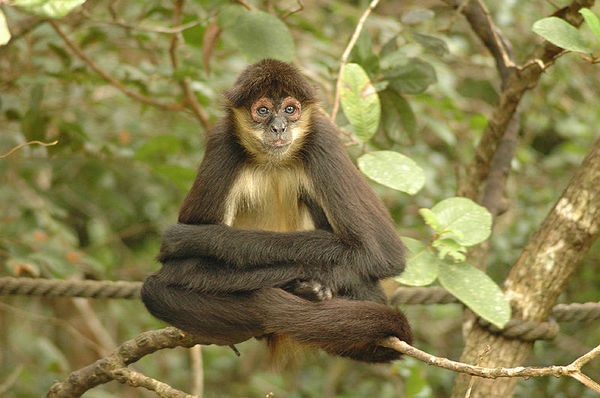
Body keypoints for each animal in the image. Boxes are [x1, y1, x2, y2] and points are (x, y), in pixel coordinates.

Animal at [141, 59, 412, 364]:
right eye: (262, 111)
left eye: (290, 110)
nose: (279, 127)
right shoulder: (222, 142)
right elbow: (181, 269)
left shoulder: (323, 138)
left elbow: (381, 251)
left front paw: (193, 239)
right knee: (156, 291)